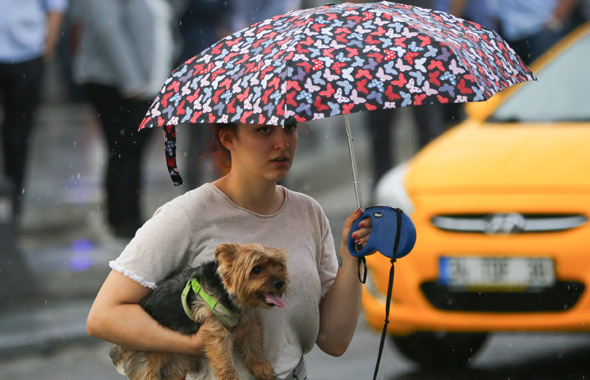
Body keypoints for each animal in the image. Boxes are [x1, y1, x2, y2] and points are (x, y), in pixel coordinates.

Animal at [110, 243, 290, 380]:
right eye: (256, 269)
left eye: (279, 266)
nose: (280, 283)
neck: (225, 291)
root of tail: (119, 347)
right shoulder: (216, 330)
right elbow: (224, 359)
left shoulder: (248, 323)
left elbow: (253, 346)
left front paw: (262, 368)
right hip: (146, 362)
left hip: (177, 366)